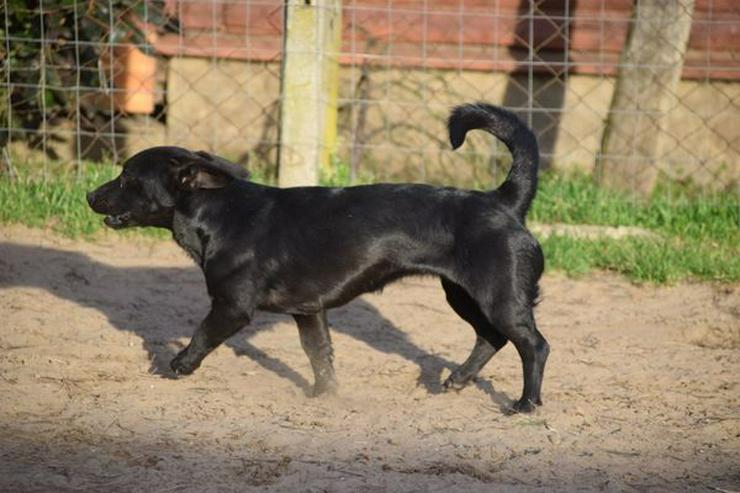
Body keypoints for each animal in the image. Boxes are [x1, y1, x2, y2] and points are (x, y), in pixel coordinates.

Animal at [88, 103, 548, 412]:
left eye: (127, 177)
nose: (90, 195)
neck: (222, 214)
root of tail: (503, 201)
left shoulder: (232, 307)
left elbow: (201, 335)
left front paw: (179, 364)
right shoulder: (309, 311)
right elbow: (319, 356)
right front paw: (324, 396)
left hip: (497, 296)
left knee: (534, 346)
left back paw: (525, 404)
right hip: (462, 296)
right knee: (491, 338)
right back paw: (456, 381)